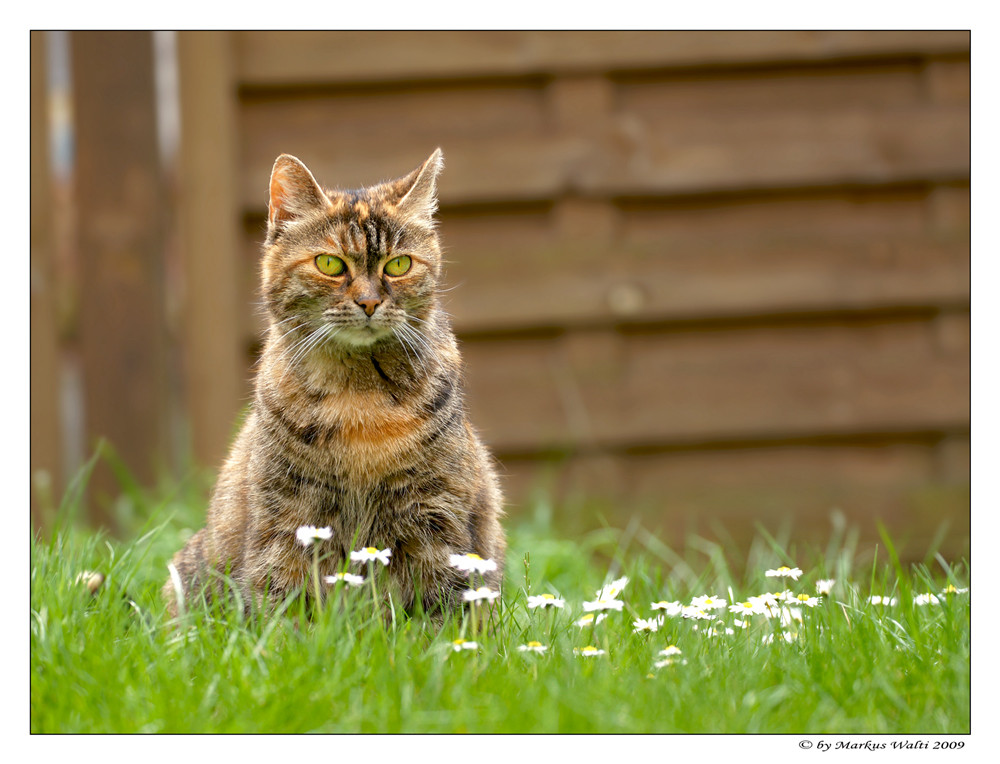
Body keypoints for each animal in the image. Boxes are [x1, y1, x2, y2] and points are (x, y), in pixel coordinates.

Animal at [166, 149, 508, 620]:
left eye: (399, 264)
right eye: (330, 263)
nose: (369, 302)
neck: (359, 399)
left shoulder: (438, 519)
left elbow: (441, 612)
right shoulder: (286, 518)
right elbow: (281, 606)